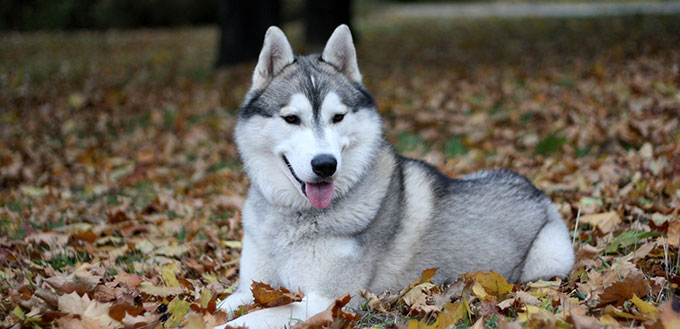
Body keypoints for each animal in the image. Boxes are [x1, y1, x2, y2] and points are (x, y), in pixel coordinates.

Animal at [216, 24, 572, 326]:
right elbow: (225, 304)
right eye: (291, 118)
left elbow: (256, 316)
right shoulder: (250, 287)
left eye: (338, 117)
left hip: (549, 258)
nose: (325, 164)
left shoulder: (325, 301)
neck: (293, 219)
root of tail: (534, 188)